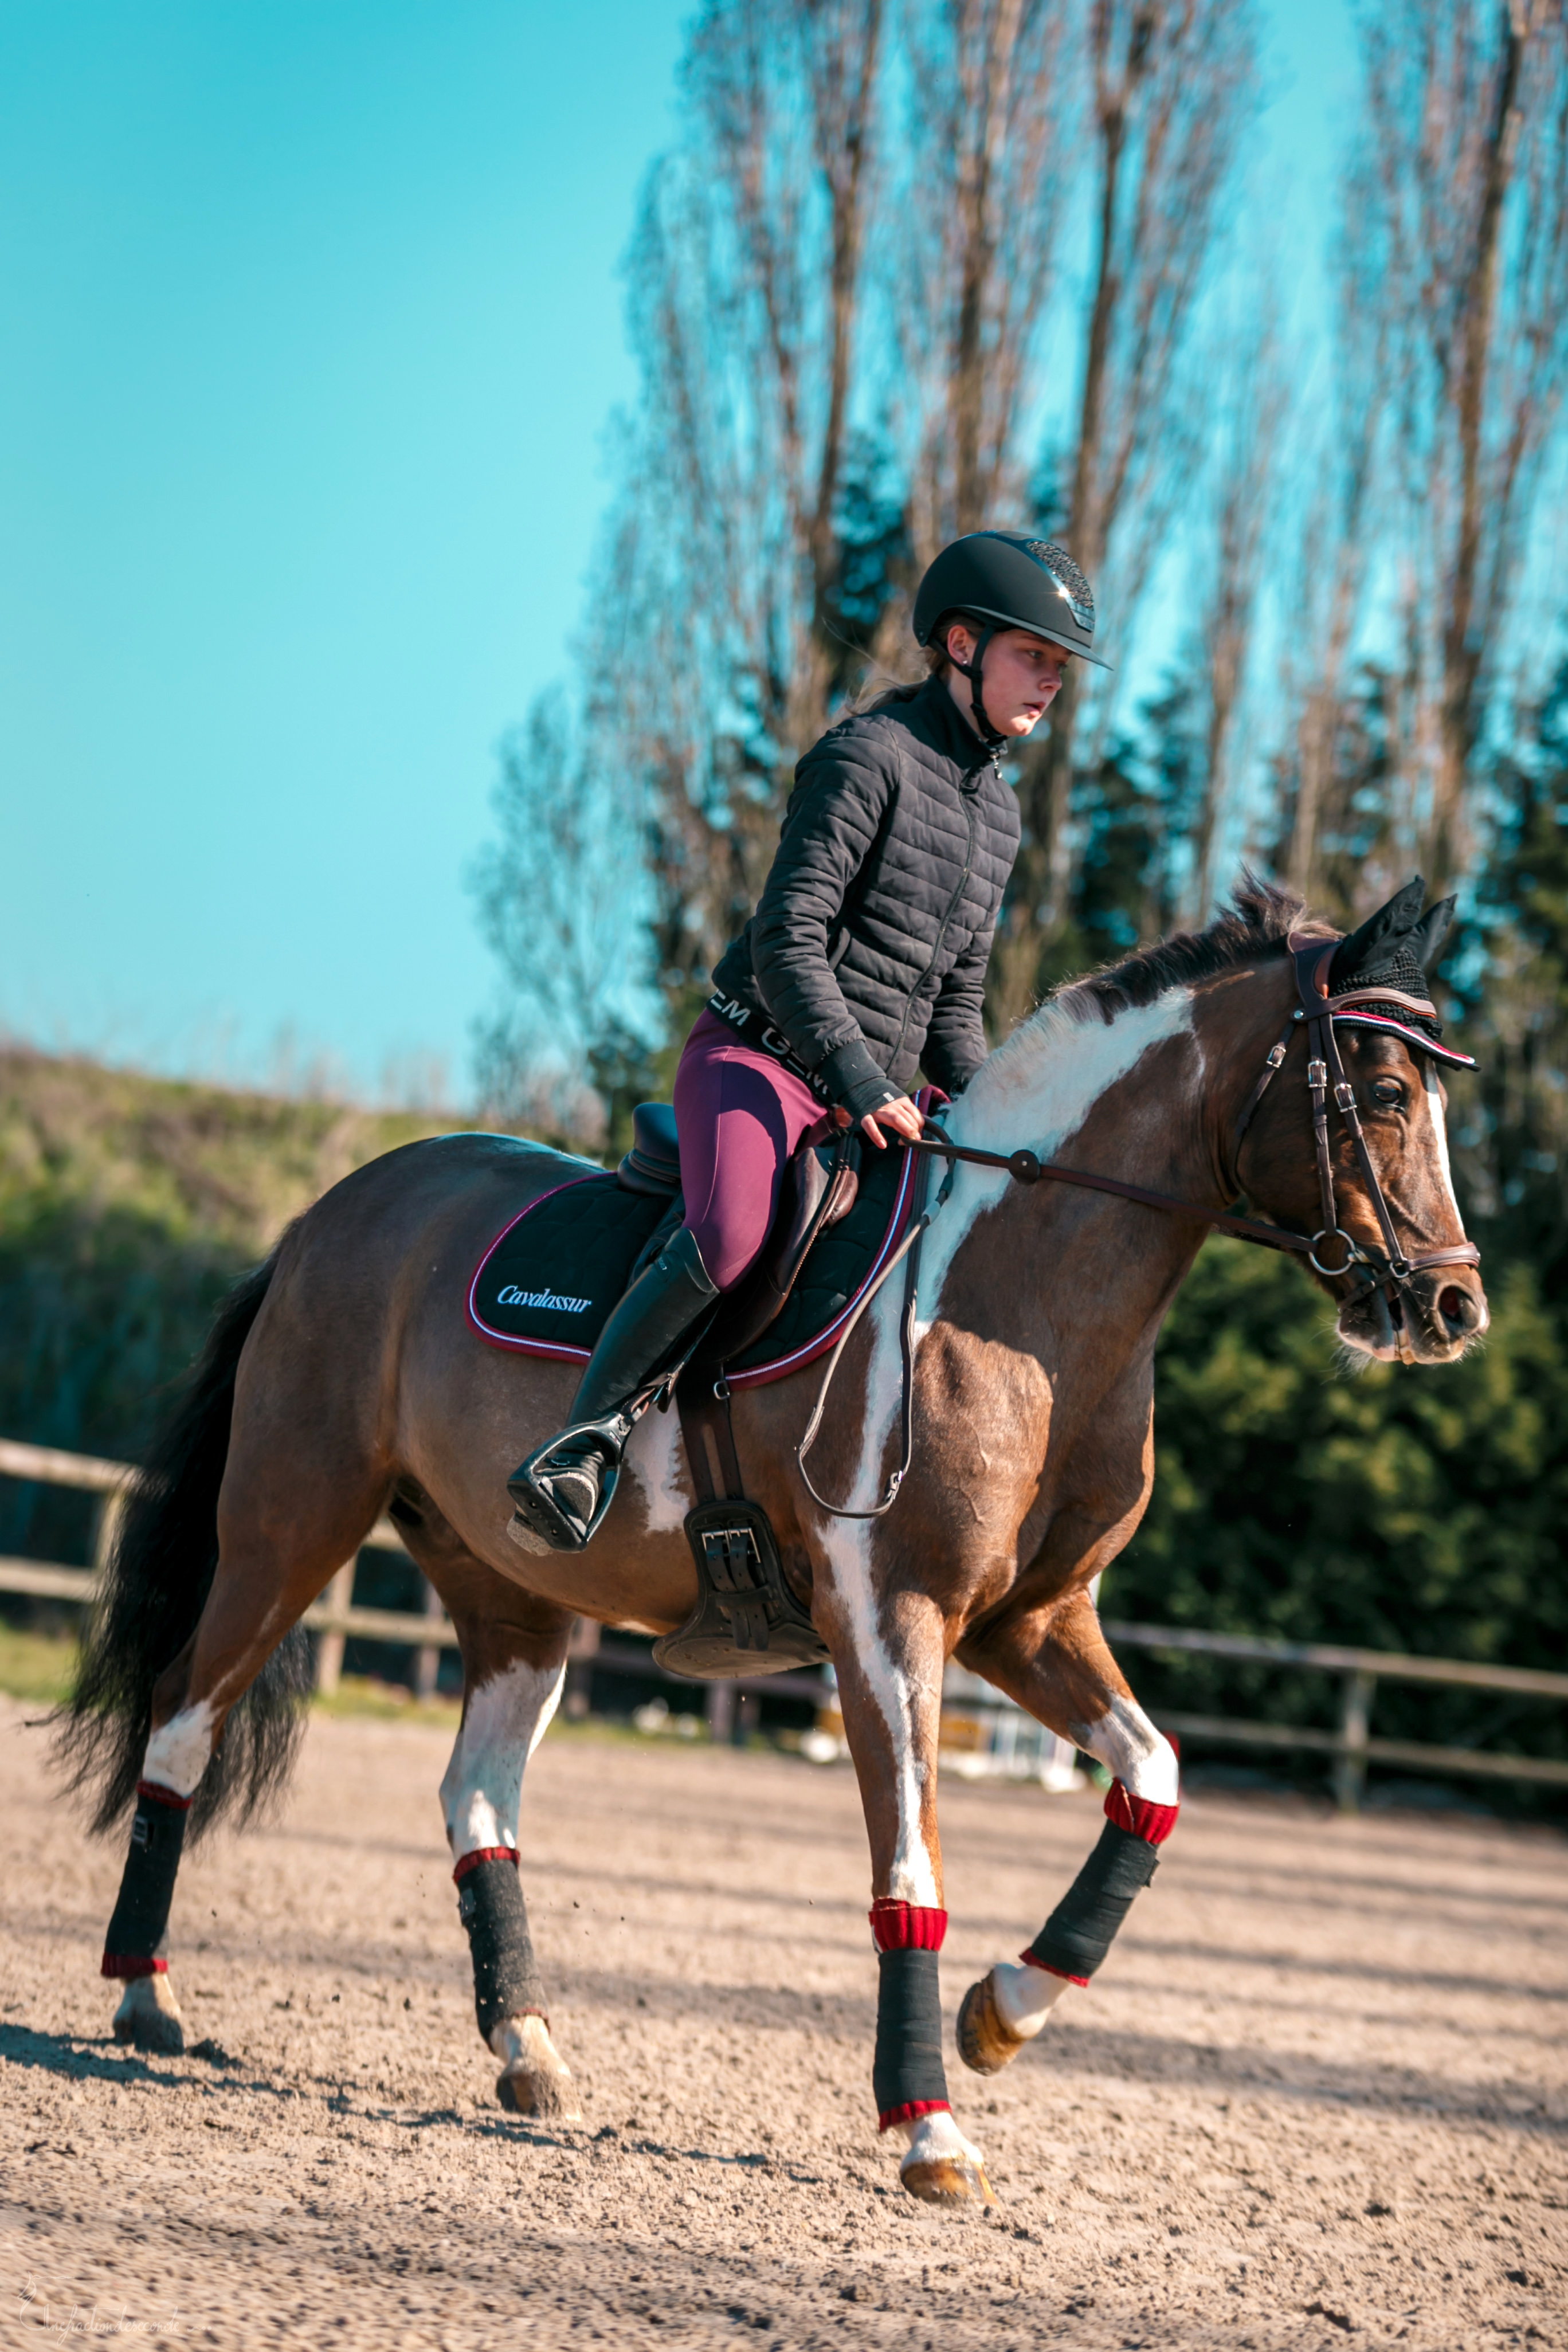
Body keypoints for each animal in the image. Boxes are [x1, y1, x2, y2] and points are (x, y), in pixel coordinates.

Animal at [61, 884, 1485, 2201]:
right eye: (1380, 1089)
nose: (1454, 1307)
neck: (1020, 1294)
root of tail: (332, 1213)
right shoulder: (889, 1625)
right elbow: (910, 1873)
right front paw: (928, 2128)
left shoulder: (1032, 1624)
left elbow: (1156, 1779)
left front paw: (1003, 2016)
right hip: (289, 1523)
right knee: (183, 1727)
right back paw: (143, 1998)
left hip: (513, 1593)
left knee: (477, 1794)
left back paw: (526, 2047)